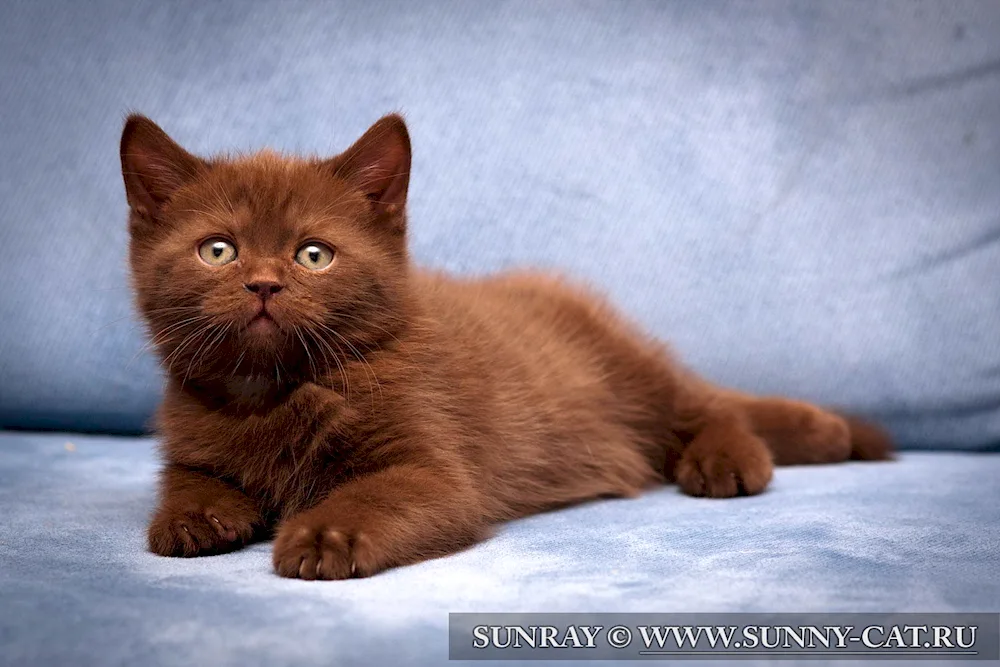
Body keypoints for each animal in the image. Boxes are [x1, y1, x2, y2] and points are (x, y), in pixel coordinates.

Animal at [119, 113, 892, 580]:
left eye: (314, 255)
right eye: (218, 249)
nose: (264, 284)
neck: (274, 389)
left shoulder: (436, 470)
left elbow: (374, 493)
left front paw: (321, 535)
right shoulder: (191, 428)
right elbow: (189, 477)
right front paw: (194, 516)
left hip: (633, 373)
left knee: (705, 406)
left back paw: (738, 457)